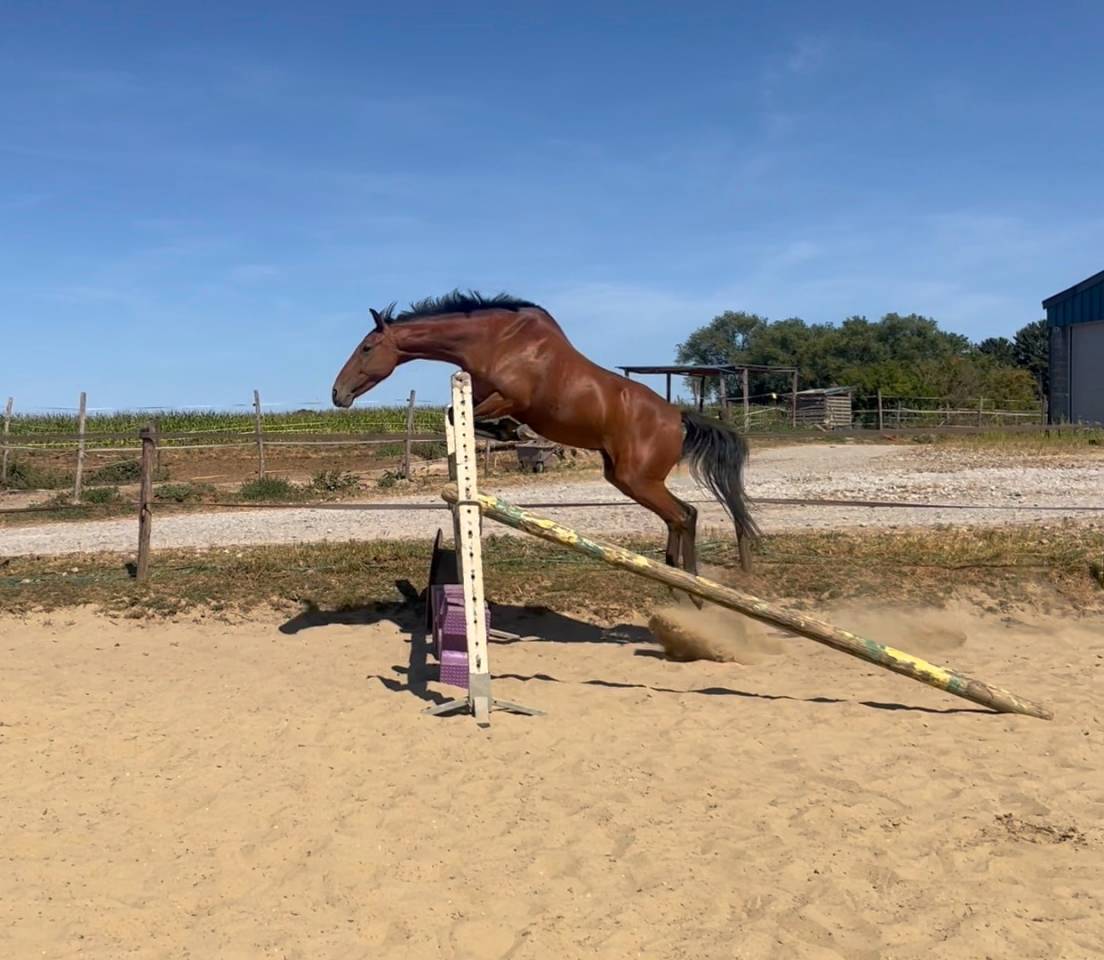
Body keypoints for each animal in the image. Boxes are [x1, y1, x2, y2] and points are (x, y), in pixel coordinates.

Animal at [332, 291, 758, 574]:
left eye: (367, 348)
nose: (337, 393)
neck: (496, 340)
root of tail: (678, 417)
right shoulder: (483, 396)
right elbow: (458, 415)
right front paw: (508, 434)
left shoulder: (509, 398)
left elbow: (473, 416)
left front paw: (511, 432)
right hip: (627, 478)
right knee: (681, 516)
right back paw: (676, 573)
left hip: (638, 478)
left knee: (684, 515)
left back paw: (691, 582)